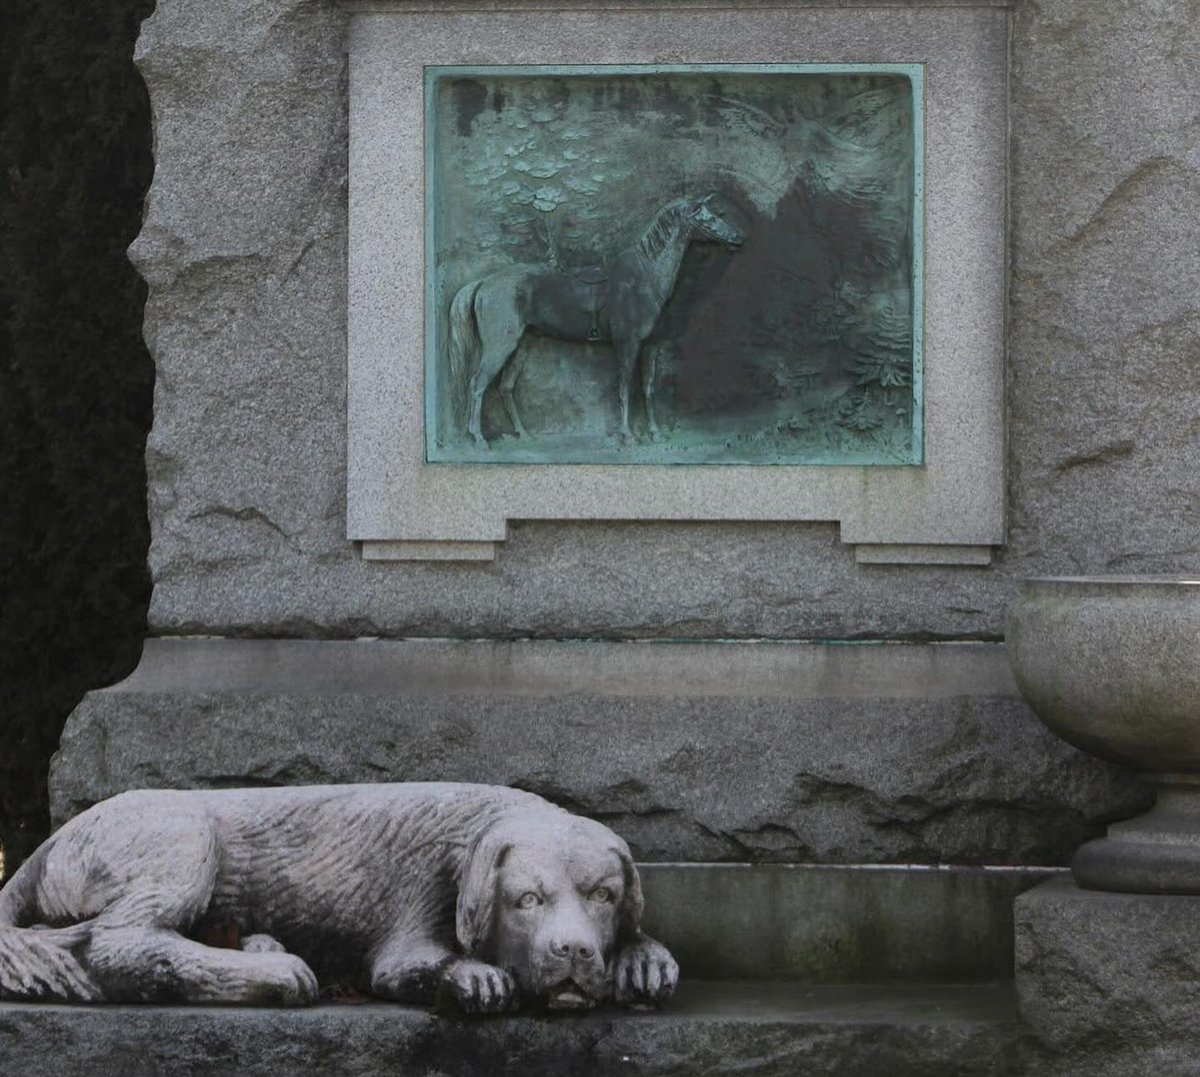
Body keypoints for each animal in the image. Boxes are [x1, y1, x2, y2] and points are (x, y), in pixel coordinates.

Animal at [448, 194, 739, 446]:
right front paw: (628, 436)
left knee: (506, 387)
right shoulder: (627, 344)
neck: (646, 277)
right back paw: (478, 438)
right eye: (707, 218)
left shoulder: (650, 346)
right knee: (477, 384)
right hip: (500, 347)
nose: (736, 236)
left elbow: (648, 389)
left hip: (521, 346)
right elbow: (624, 388)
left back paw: (524, 434)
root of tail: (484, 283)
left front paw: (654, 433)